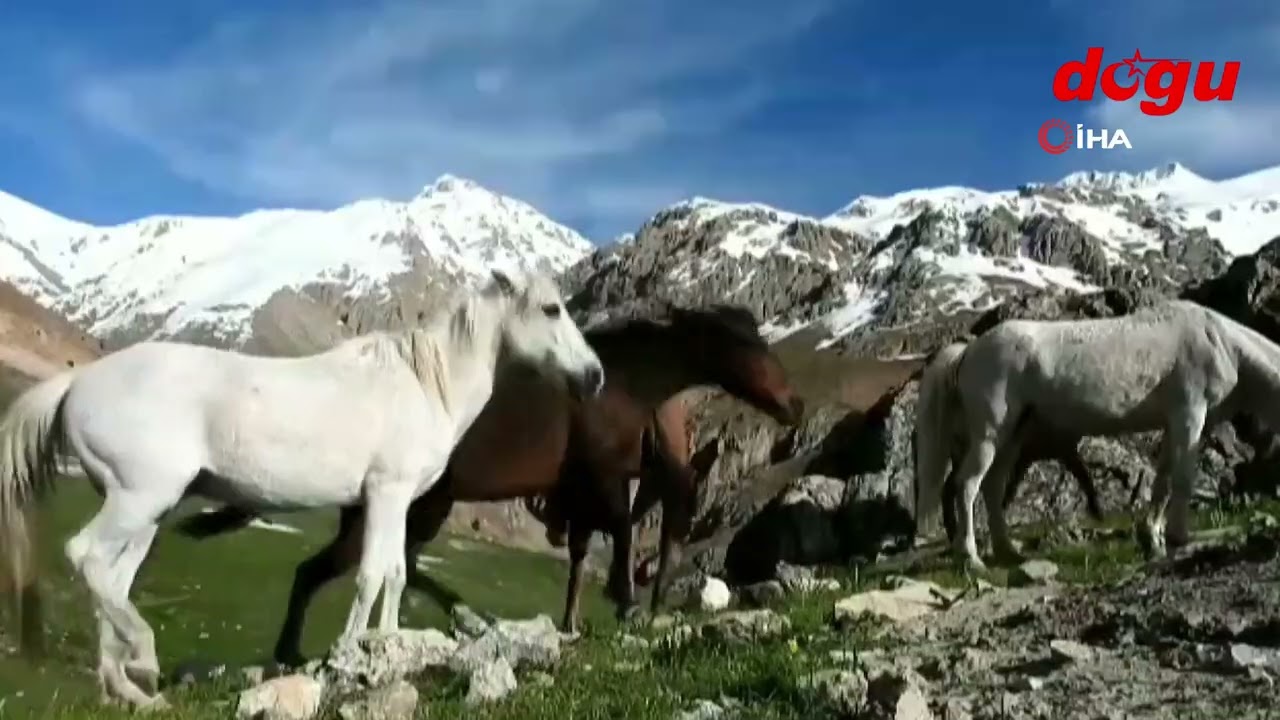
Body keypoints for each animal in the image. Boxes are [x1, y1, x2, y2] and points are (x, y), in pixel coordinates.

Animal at [0, 269, 604, 707]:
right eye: (551, 309)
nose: (594, 376)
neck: (423, 384)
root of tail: (77, 382)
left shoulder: (399, 503)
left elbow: (395, 573)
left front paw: (388, 648)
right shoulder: (385, 494)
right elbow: (372, 573)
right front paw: (353, 655)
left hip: (146, 511)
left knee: (112, 580)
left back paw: (128, 688)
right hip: (137, 499)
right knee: (86, 557)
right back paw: (143, 660)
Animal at [179, 302, 798, 661]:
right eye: (745, 344)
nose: (792, 404)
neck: (620, 384)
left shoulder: (594, 488)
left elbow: (596, 547)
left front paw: (600, 612)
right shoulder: (601, 477)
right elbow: (619, 533)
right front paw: (624, 604)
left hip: (413, 510)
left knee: (340, 570)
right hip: (405, 509)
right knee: (334, 570)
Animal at [916, 297, 1280, 566]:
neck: (1219, 341)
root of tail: (968, 350)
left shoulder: (1173, 424)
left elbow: (1162, 481)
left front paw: (1153, 538)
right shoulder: (1189, 415)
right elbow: (1182, 479)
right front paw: (1178, 537)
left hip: (1013, 435)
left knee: (991, 488)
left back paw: (1008, 552)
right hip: (990, 435)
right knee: (967, 486)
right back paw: (971, 557)